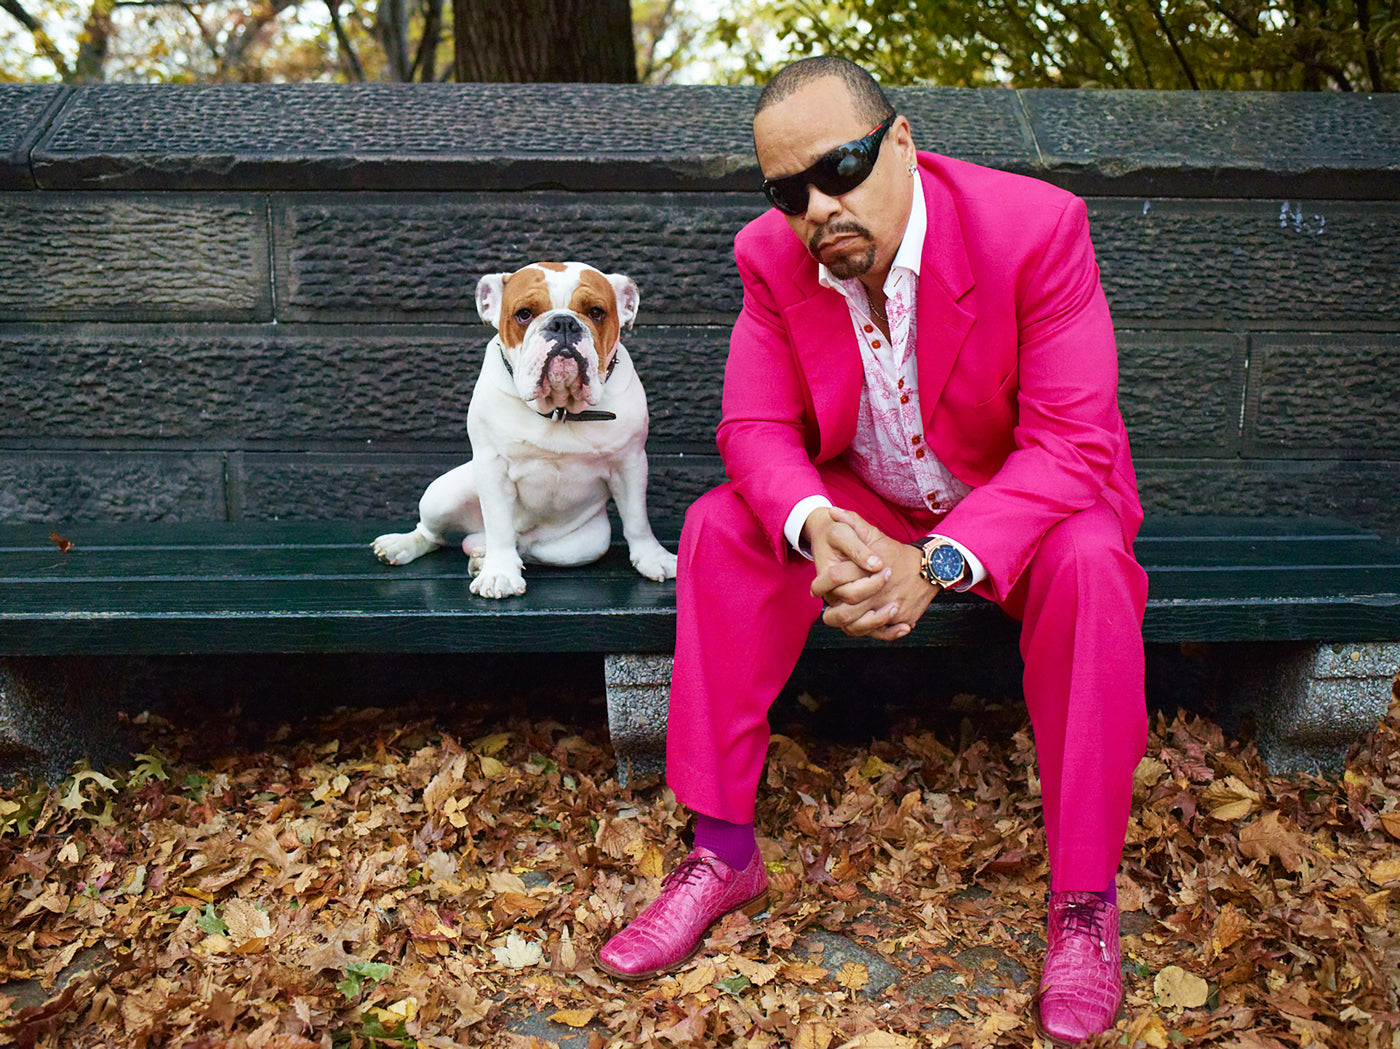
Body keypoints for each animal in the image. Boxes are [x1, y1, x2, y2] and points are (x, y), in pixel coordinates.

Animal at [372, 261, 678, 598]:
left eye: (597, 312)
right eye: (524, 314)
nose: (563, 323)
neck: (560, 409)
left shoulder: (630, 464)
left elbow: (637, 518)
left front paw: (653, 558)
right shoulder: (492, 467)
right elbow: (499, 525)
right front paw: (499, 573)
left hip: (586, 544)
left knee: (528, 546)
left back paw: (481, 556)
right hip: (443, 494)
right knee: (435, 533)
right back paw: (404, 545)